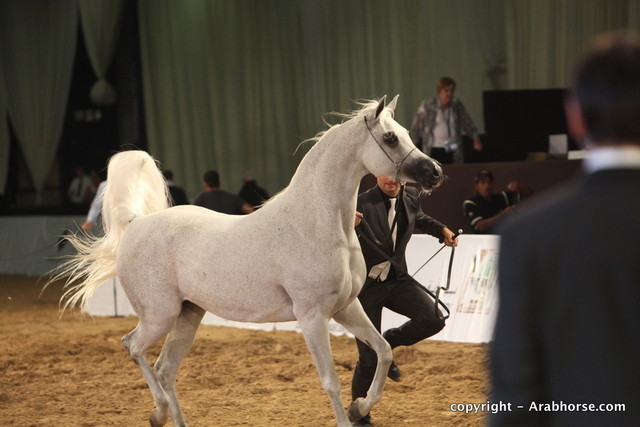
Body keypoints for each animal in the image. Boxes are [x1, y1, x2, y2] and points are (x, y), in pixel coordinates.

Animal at [52, 95, 444, 426]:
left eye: (407, 133)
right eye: (390, 138)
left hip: (188, 314)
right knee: (133, 347)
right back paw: (157, 413)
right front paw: (350, 414)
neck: (315, 222)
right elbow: (330, 379)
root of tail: (136, 224)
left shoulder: (347, 308)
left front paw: (360, 407)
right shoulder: (313, 317)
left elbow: (383, 351)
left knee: (165, 368)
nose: (436, 172)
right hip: (158, 316)